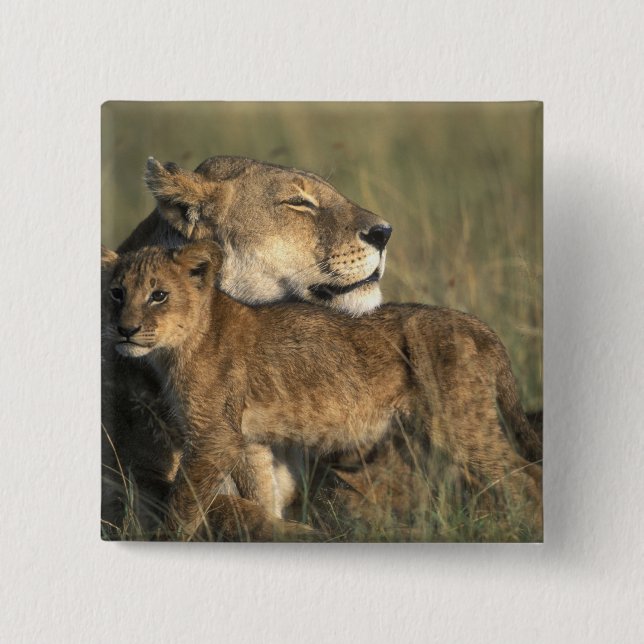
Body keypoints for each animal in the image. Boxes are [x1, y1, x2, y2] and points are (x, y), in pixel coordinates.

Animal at [102, 242, 543, 540]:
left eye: (159, 295)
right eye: (116, 293)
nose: (125, 329)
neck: (178, 347)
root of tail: (479, 326)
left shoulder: (214, 438)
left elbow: (184, 500)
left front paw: (165, 539)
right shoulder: (249, 441)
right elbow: (261, 496)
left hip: (461, 424)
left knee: (523, 477)